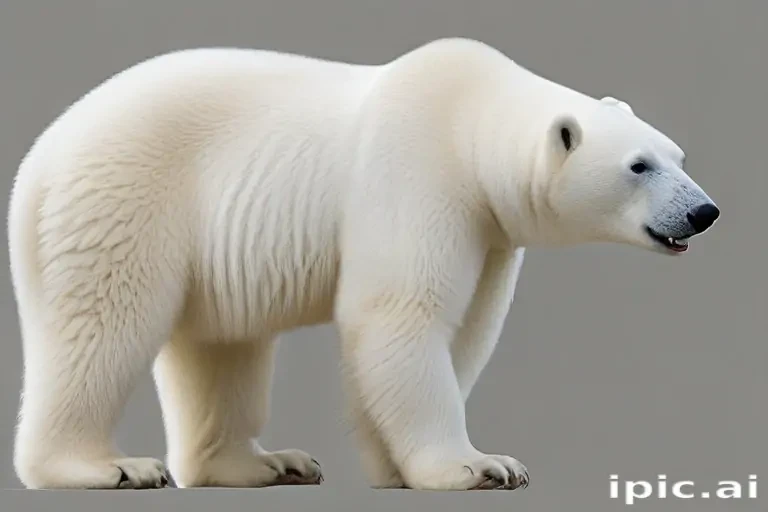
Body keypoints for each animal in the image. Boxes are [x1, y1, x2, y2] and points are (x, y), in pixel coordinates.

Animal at [7, 37, 720, 491]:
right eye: (639, 166)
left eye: (678, 155)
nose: (704, 212)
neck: (468, 120)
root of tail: (36, 163)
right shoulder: (419, 177)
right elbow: (401, 318)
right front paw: (477, 467)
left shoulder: (488, 232)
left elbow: (461, 334)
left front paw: (399, 467)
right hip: (123, 201)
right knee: (104, 325)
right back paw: (108, 468)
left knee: (223, 347)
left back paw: (264, 464)